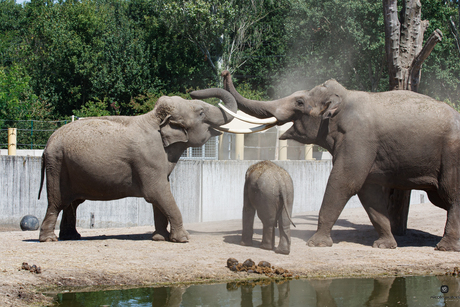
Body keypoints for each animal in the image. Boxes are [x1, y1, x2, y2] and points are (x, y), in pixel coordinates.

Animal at [37, 88, 237, 243]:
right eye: (201, 113)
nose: (192, 91)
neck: (155, 118)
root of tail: (47, 144)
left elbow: (161, 194)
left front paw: (159, 238)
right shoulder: (148, 158)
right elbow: (157, 192)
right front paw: (183, 239)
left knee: (72, 203)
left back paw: (71, 237)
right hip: (57, 165)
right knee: (56, 202)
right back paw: (49, 239)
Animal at [191, 70, 460, 253]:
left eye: (300, 102)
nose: (225, 72)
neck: (345, 97)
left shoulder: (358, 139)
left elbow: (344, 182)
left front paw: (316, 243)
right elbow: (368, 191)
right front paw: (384, 245)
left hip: (452, 154)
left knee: (451, 194)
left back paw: (444, 247)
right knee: (442, 198)